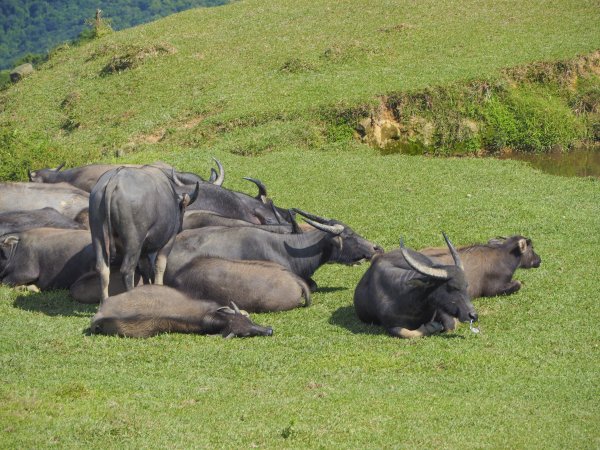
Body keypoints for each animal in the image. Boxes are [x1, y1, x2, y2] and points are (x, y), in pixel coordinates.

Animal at [89, 163, 199, 300]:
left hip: (98, 234)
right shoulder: (168, 241)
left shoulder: (143, 250)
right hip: (133, 241)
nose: (181, 228)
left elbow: (145, 269)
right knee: (127, 270)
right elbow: (159, 265)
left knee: (102, 268)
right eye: (183, 210)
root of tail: (115, 180)